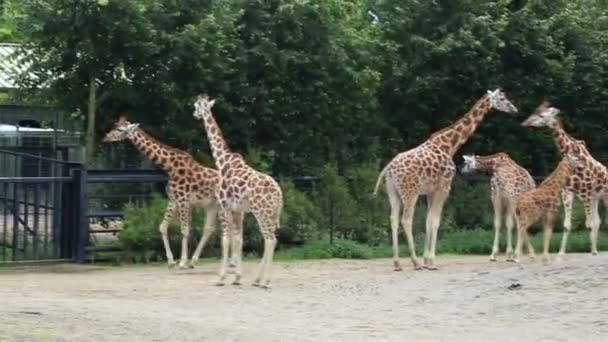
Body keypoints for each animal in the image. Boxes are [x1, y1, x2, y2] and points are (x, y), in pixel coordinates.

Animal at [103, 116, 239, 268]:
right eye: (114, 126)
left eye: (120, 129)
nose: (105, 137)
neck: (169, 167)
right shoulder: (173, 200)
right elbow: (162, 227)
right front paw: (171, 260)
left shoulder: (183, 200)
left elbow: (184, 230)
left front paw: (182, 261)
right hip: (212, 206)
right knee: (209, 229)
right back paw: (196, 261)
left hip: (223, 206)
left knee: (229, 229)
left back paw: (230, 261)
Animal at [192, 94, 282, 288]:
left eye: (196, 106)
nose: (195, 114)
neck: (222, 161)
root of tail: (279, 194)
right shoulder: (238, 211)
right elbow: (238, 240)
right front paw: (237, 277)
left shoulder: (224, 207)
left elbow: (226, 240)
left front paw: (221, 278)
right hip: (271, 214)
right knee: (273, 239)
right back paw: (258, 279)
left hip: (261, 212)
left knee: (270, 239)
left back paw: (264, 281)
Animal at [370, 89, 516, 272]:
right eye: (502, 98)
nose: (514, 109)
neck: (450, 145)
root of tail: (388, 169)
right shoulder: (444, 187)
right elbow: (435, 222)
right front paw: (431, 262)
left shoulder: (431, 191)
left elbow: (428, 222)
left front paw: (427, 260)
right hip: (410, 192)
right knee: (406, 220)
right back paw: (415, 262)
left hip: (393, 192)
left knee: (394, 220)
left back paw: (397, 263)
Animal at [520, 103, 604, 258]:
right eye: (534, 112)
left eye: (542, 115)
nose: (525, 122)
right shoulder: (568, 193)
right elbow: (567, 225)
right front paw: (561, 252)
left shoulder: (585, 194)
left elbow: (588, 224)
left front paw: (592, 251)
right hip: (595, 197)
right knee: (597, 220)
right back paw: (594, 248)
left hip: (601, 195)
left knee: (594, 221)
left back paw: (594, 249)